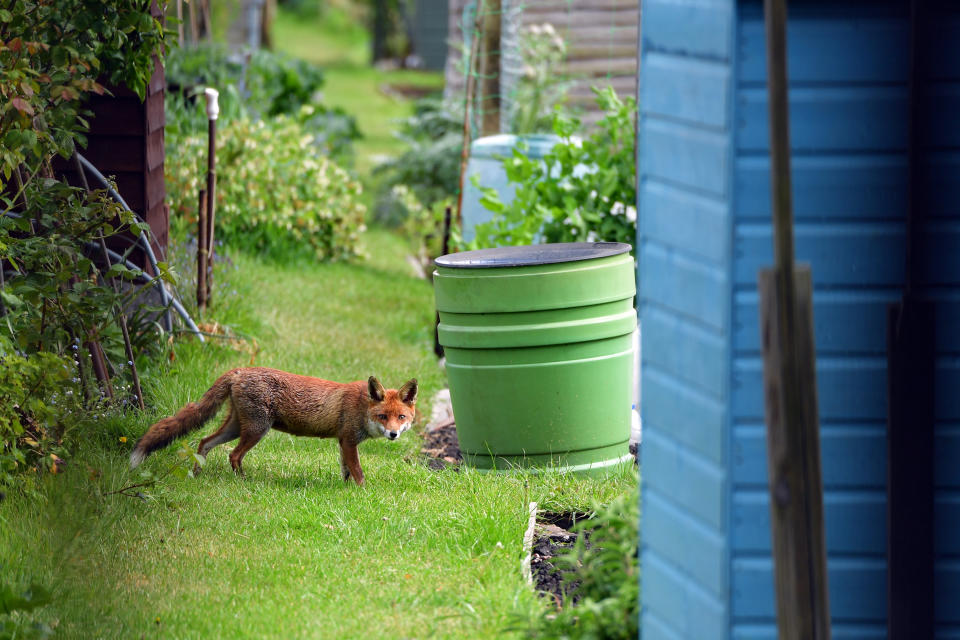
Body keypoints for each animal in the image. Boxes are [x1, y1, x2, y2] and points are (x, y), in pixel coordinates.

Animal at [130, 370, 416, 484]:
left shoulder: (343, 442)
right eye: (383, 416)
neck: (361, 406)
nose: (393, 434)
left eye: (401, 417)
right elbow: (358, 472)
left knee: (204, 442)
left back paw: (198, 472)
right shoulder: (348, 440)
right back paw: (242, 480)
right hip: (256, 430)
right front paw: (361, 493)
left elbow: (346, 471)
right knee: (233, 455)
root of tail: (239, 371)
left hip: (236, 428)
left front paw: (346, 492)